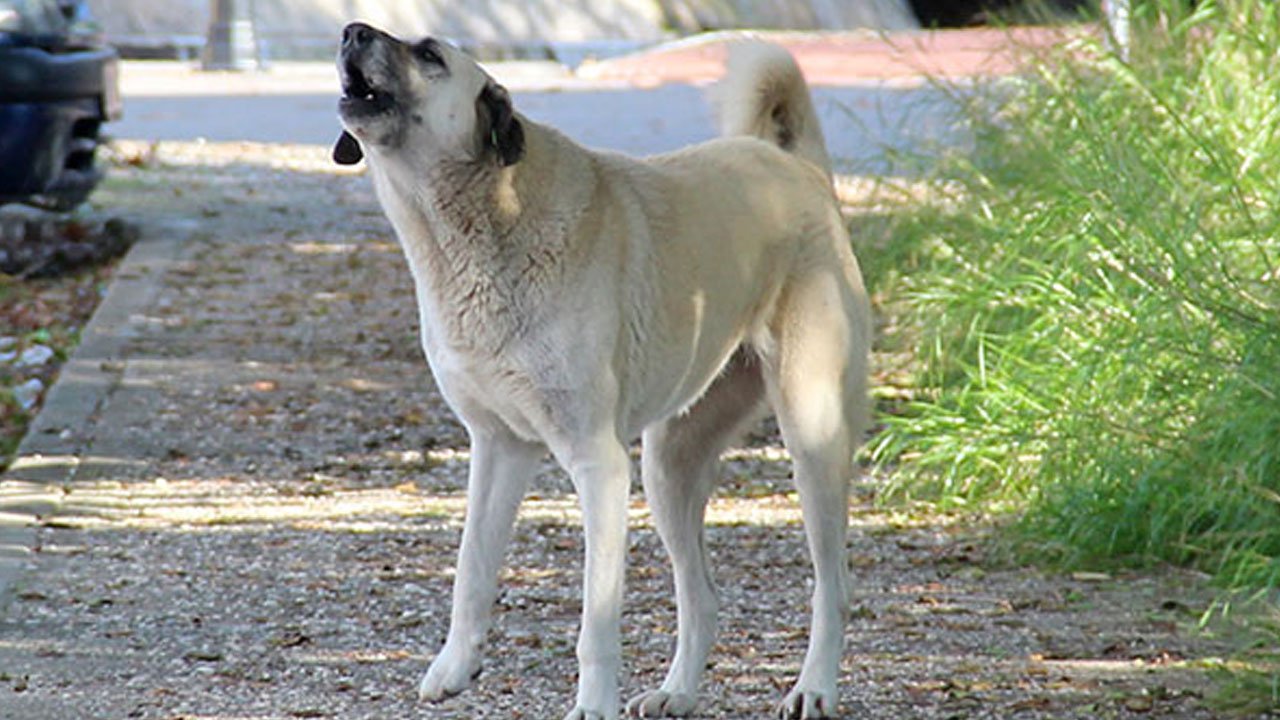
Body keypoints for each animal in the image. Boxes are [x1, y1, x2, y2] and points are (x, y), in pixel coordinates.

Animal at [332, 22, 870, 717]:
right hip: (669, 467)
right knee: (701, 596)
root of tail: (799, 169)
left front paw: (591, 702)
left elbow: (597, 620)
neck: (485, 222)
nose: (351, 31)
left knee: (832, 586)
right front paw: (454, 665)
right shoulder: (498, 448)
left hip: (812, 435)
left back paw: (814, 687)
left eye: (429, 54)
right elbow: (472, 568)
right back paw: (676, 691)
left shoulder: (598, 464)